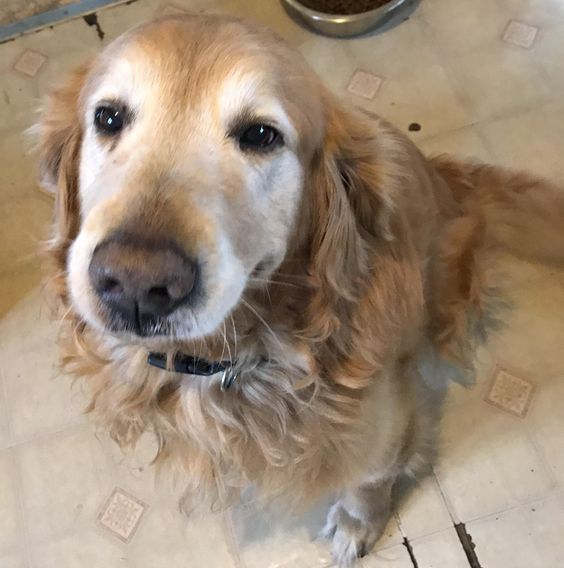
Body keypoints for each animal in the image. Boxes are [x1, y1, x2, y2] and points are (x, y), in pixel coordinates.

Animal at [36, 15, 564, 564]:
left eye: (260, 134)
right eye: (108, 118)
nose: (135, 283)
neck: (233, 358)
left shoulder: (387, 423)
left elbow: (369, 481)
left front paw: (357, 526)